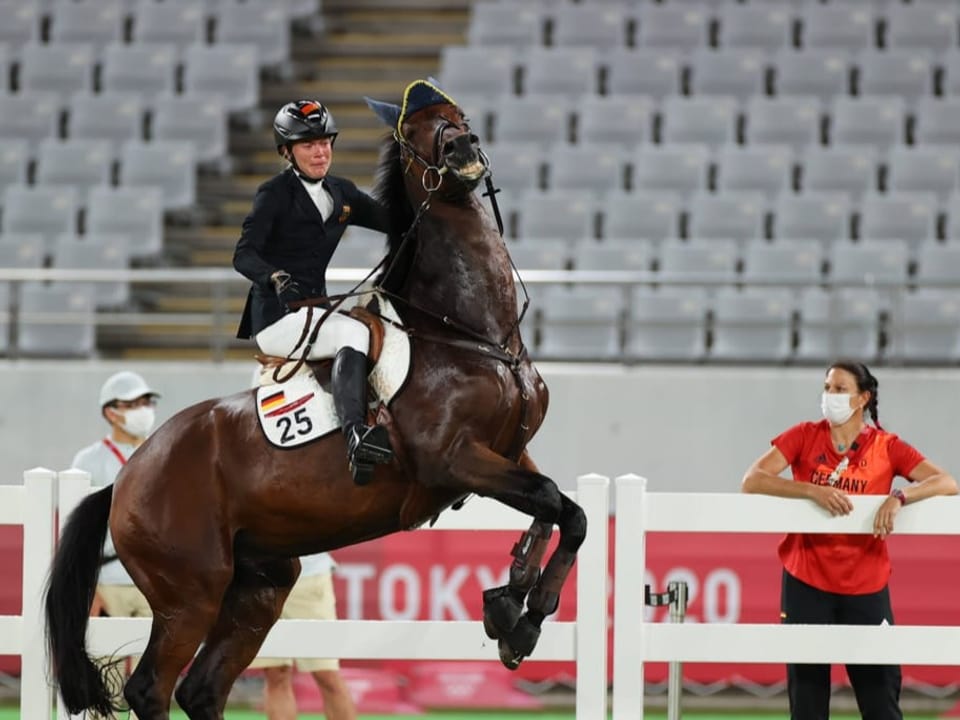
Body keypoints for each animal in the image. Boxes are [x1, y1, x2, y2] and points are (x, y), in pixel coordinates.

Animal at [45, 79, 584, 720]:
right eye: (412, 131)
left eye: (458, 115)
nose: (463, 151)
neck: (471, 332)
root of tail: (126, 477)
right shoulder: (454, 461)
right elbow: (550, 499)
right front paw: (516, 612)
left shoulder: (509, 452)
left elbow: (563, 511)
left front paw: (515, 605)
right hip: (190, 594)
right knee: (151, 686)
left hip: (260, 584)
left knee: (202, 687)